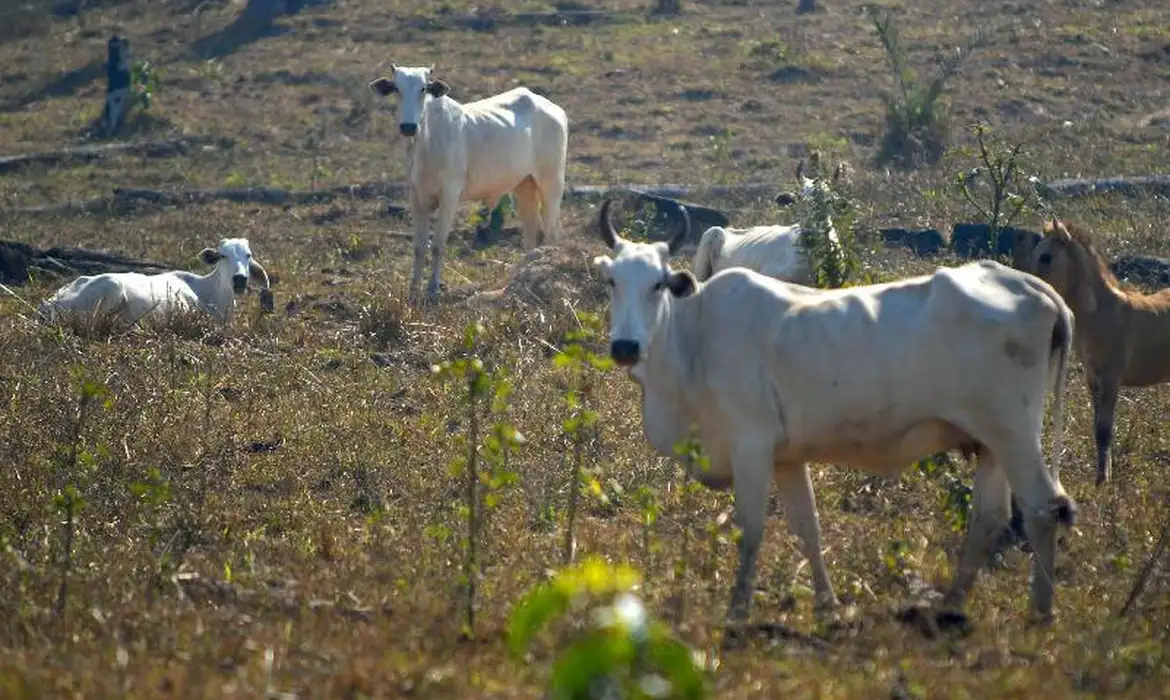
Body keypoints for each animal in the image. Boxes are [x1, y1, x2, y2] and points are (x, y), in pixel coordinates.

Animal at [365, 65, 566, 304]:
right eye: (397, 88)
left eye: (423, 89)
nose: (408, 127)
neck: (427, 141)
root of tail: (552, 108)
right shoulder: (416, 195)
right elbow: (419, 247)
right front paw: (413, 290)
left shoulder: (450, 194)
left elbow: (438, 245)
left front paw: (433, 289)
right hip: (525, 185)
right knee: (531, 235)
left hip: (551, 182)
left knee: (552, 234)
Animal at [594, 198, 1076, 632]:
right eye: (612, 281)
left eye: (658, 283)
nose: (625, 347)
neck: (695, 337)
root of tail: (1033, 287)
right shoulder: (787, 458)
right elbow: (808, 528)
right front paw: (829, 605)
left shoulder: (751, 445)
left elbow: (750, 529)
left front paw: (737, 611)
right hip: (991, 442)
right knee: (989, 519)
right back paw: (952, 605)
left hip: (1014, 433)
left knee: (1043, 507)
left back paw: (1041, 611)